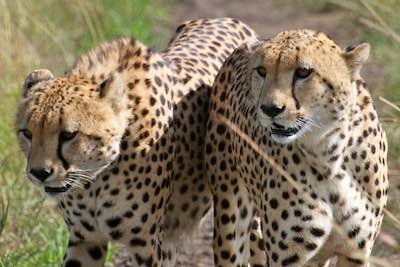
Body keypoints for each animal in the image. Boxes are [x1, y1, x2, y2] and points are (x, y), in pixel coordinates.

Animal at [15, 17, 260, 266]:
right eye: (27, 133)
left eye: (68, 134)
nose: (39, 173)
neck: (96, 177)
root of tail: (229, 20)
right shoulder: (85, 239)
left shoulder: (147, 245)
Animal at [206, 30, 388, 266]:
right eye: (261, 71)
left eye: (303, 72)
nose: (270, 109)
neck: (329, 153)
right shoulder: (288, 258)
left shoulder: (355, 253)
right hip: (230, 219)